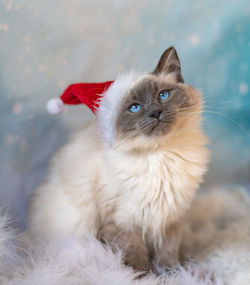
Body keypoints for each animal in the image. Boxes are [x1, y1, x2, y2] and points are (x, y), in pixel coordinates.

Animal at [27, 46, 209, 270]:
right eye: (135, 107)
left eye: (163, 95)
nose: (155, 113)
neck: (160, 153)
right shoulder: (121, 222)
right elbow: (138, 259)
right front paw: (146, 276)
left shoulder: (170, 217)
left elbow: (168, 253)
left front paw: (174, 273)